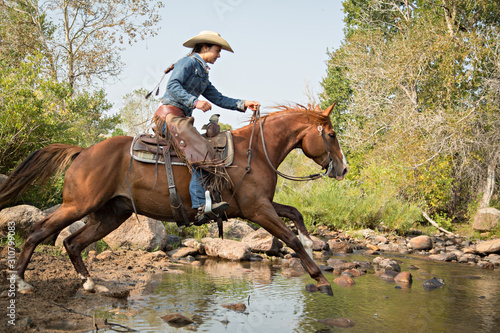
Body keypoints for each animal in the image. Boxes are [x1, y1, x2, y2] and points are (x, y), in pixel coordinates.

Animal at [0, 103, 348, 294]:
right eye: (331, 135)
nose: (343, 168)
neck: (256, 152)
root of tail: (83, 151)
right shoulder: (257, 210)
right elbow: (289, 236)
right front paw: (320, 279)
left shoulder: (259, 206)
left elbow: (295, 214)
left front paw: (313, 246)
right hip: (78, 206)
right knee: (40, 231)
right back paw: (21, 281)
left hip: (111, 214)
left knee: (73, 243)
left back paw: (89, 283)